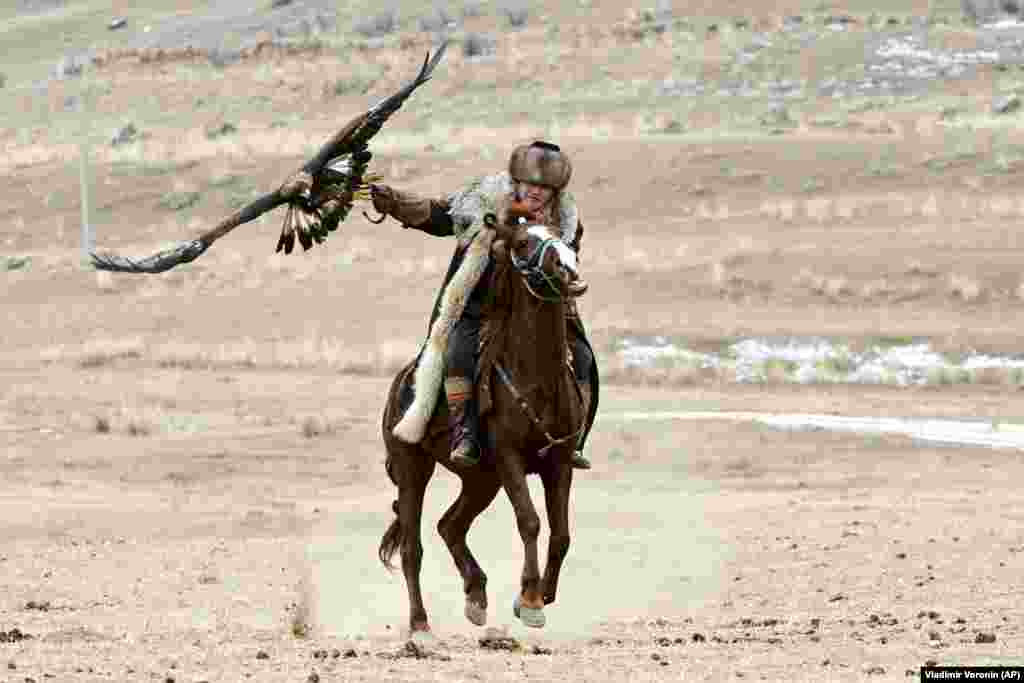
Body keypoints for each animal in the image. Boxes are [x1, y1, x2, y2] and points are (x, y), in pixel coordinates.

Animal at [380, 201, 589, 634]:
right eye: (523, 242)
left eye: (564, 238)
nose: (568, 270)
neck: (536, 378)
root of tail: (401, 385)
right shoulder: (509, 458)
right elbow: (530, 521)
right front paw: (530, 600)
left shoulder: (559, 462)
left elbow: (561, 533)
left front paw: (542, 593)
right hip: (413, 468)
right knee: (412, 548)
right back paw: (420, 624)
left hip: (481, 479)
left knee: (450, 525)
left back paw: (476, 595)